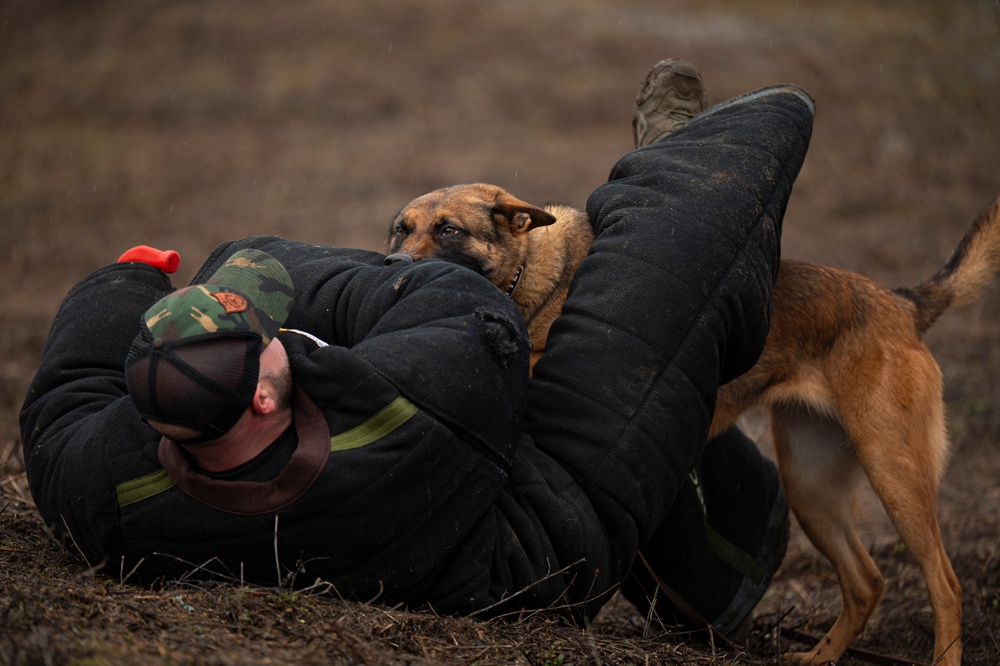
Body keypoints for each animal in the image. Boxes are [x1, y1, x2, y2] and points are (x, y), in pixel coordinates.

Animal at [388, 182, 1000, 664]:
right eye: (399, 231)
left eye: (448, 230)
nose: (392, 267)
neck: (531, 276)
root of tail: (902, 304)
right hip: (810, 487)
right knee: (867, 582)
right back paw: (821, 656)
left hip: (893, 473)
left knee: (945, 584)